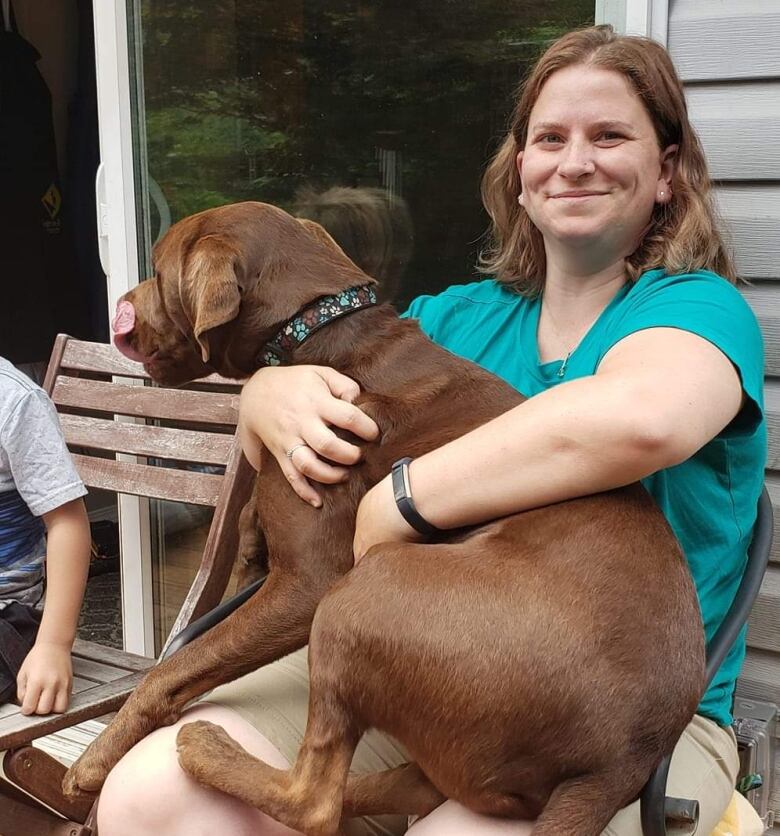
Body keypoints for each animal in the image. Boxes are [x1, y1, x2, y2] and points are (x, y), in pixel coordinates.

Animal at [64, 202, 704, 836]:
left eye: (157, 269)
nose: (122, 309)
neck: (315, 329)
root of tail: (623, 763)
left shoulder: (305, 586)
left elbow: (169, 670)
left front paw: (93, 765)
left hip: (359, 598)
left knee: (314, 800)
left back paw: (208, 750)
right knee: (411, 788)